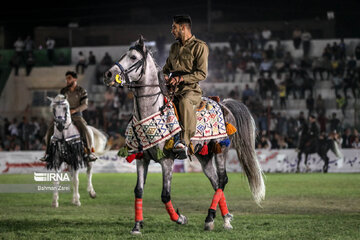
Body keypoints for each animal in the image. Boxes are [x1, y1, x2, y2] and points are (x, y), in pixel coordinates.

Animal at [102, 36, 266, 234]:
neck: (151, 110)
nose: (108, 74)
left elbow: (165, 195)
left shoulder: (167, 161)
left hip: (221, 149)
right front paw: (137, 226)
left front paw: (180, 218)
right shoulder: (142, 159)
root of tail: (223, 104)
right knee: (215, 182)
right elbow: (138, 191)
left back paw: (211, 218)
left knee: (222, 180)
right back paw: (224, 219)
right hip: (204, 157)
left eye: (133, 57)